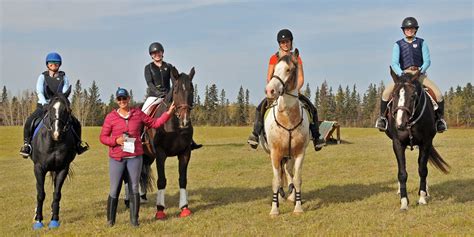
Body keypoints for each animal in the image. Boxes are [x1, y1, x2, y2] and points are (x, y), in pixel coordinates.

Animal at [30, 86, 78, 229]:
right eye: (50, 109)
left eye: (68, 110)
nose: (57, 134)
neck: (54, 142)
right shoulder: (39, 168)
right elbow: (40, 194)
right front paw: (38, 220)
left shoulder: (62, 168)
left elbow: (56, 193)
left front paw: (54, 219)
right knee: (38, 188)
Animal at [142, 66, 195, 218]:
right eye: (176, 90)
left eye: (192, 90)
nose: (185, 121)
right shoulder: (161, 154)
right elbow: (161, 181)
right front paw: (160, 209)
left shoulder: (185, 153)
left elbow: (182, 179)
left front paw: (184, 207)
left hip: (149, 156)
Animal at [262, 49, 312, 216]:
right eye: (274, 70)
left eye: (289, 69)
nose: (270, 90)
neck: (287, 119)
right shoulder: (275, 153)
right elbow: (276, 181)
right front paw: (274, 209)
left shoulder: (300, 153)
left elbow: (297, 179)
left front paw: (298, 207)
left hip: (289, 155)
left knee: (289, 172)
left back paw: (290, 195)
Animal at [386, 67, 448, 210]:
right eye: (394, 95)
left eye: (413, 96)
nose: (400, 124)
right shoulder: (397, 144)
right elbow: (402, 173)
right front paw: (404, 202)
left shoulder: (426, 143)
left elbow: (423, 170)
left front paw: (422, 198)